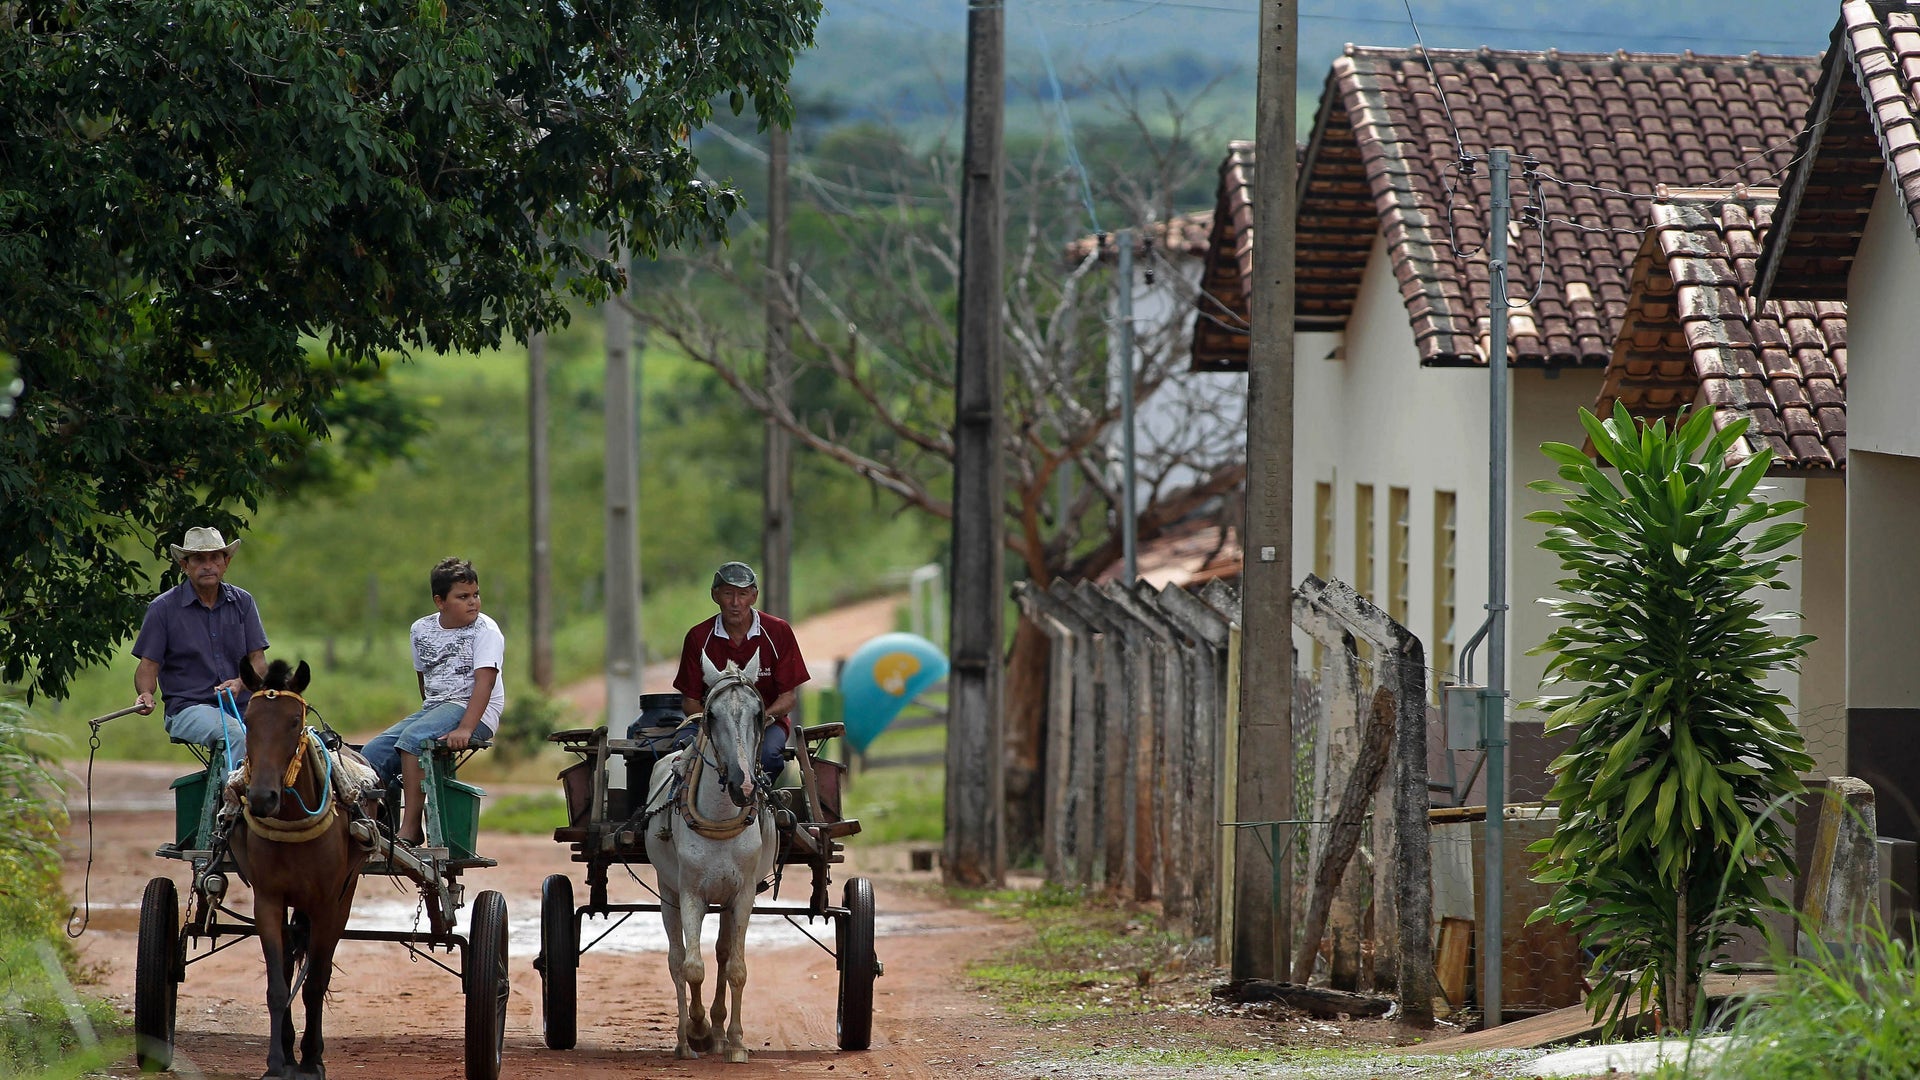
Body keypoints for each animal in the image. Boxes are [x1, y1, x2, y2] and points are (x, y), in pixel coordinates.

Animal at [228, 657, 370, 1076]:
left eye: (293, 721)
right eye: (249, 718)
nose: (262, 797)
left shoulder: (326, 905)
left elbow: (315, 985)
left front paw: (312, 1059)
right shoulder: (269, 901)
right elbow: (278, 985)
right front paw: (278, 1062)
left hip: (343, 897)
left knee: (316, 973)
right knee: (291, 963)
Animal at [637, 653, 771, 1053]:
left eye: (759, 712)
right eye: (711, 715)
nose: (744, 786)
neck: (721, 817)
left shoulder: (742, 894)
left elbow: (736, 968)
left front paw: (736, 1042)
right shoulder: (691, 893)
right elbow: (692, 967)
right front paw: (698, 1030)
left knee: (723, 953)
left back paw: (720, 1032)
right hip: (668, 892)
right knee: (676, 958)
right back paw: (686, 1039)